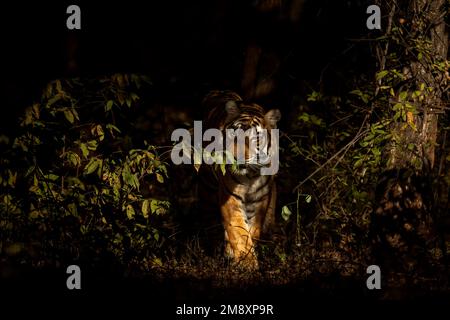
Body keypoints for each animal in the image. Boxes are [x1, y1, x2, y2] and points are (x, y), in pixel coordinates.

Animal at [198, 90, 280, 268]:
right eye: (233, 135)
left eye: (255, 139)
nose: (236, 157)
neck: (251, 175)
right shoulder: (230, 198)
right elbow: (239, 230)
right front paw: (247, 264)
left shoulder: (260, 201)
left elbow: (252, 231)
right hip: (207, 189)